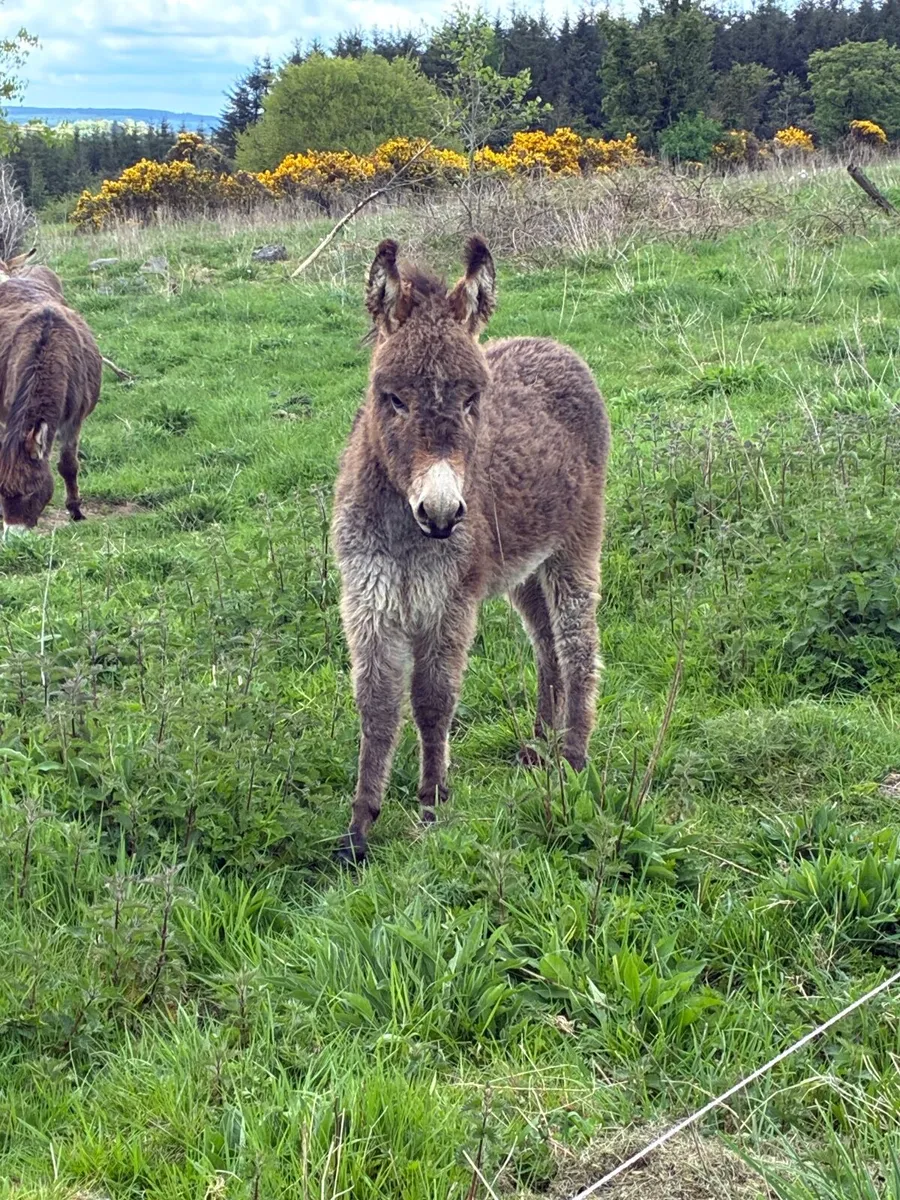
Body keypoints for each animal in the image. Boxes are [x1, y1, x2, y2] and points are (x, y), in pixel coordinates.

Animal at [331, 236, 611, 862]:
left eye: (472, 398)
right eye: (393, 398)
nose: (440, 515)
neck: (406, 535)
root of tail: (555, 345)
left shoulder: (450, 603)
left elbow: (432, 700)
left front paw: (432, 805)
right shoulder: (369, 602)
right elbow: (376, 706)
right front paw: (360, 828)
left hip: (575, 543)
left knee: (577, 644)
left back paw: (573, 758)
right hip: (523, 569)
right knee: (545, 646)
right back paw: (540, 744)